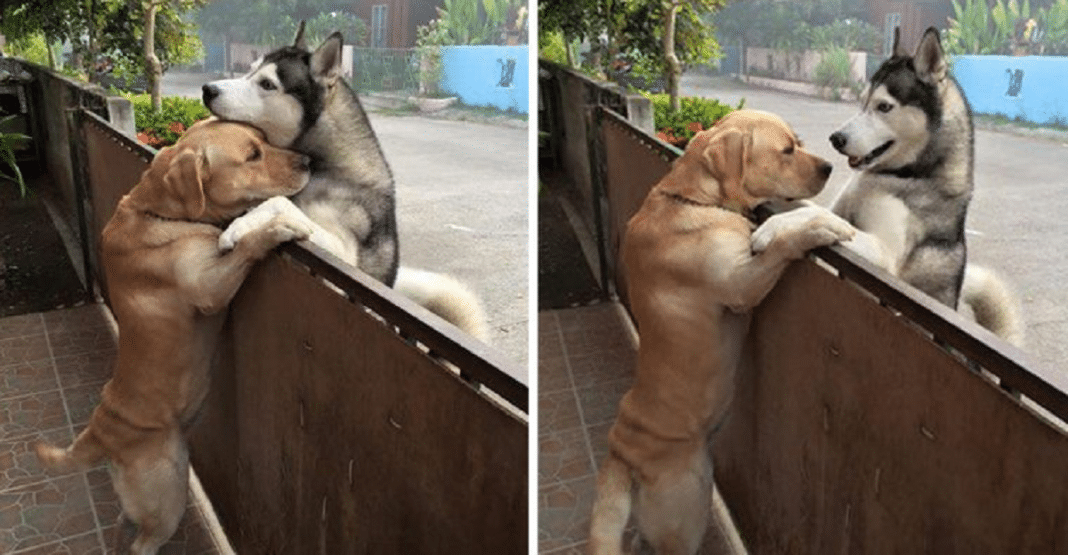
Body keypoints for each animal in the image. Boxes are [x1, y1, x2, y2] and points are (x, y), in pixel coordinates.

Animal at [37, 119, 311, 550]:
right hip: (168, 494)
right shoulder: (210, 288)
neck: (163, 214)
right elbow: (247, 245)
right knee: (143, 542)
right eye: (253, 155)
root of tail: (100, 432)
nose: (308, 161)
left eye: (265, 140)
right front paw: (274, 229)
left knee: (123, 525)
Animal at [589, 110, 854, 550]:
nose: (829, 167)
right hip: (689, 506)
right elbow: (781, 242)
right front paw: (815, 230)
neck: (695, 198)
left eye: (798, 142)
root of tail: (621, 452)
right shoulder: (740, 284)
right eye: (786, 150)